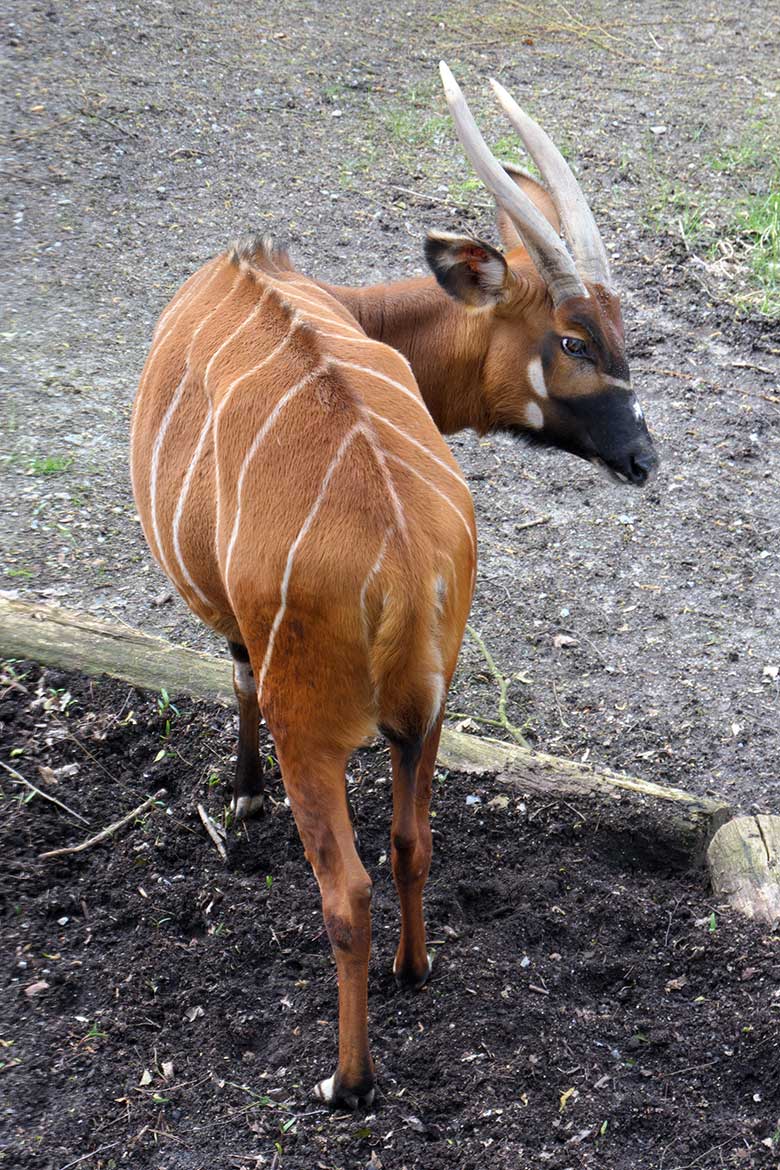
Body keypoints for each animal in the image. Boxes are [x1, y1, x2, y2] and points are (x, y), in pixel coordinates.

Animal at [130, 61, 654, 1104]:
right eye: (577, 339)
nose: (644, 458)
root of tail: (405, 561)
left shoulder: (244, 637)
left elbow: (234, 676)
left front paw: (240, 798)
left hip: (316, 728)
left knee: (349, 890)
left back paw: (350, 1081)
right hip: (430, 711)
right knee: (412, 845)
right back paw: (417, 972)